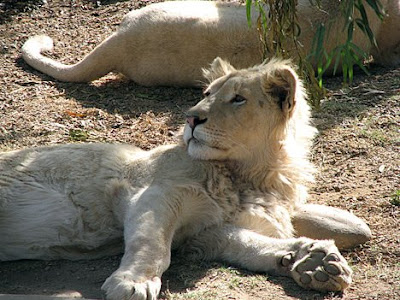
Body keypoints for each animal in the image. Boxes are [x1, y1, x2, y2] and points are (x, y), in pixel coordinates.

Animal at [0, 57, 372, 298]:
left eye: (238, 99)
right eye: (206, 94)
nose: (191, 118)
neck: (250, 174)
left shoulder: (205, 232)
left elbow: (251, 244)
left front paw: (313, 261)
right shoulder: (154, 192)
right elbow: (151, 244)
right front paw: (132, 283)